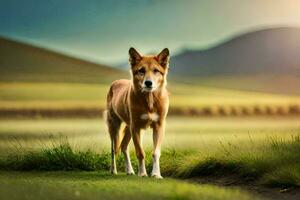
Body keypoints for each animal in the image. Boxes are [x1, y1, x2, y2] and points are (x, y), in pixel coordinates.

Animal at [103, 47, 169, 179]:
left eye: (156, 71)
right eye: (141, 70)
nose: (148, 83)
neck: (150, 100)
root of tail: (116, 82)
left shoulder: (159, 126)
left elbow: (156, 152)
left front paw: (156, 174)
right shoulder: (136, 127)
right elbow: (140, 152)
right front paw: (143, 173)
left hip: (129, 127)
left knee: (123, 146)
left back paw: (130, 170)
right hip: (114, 126)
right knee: (113, 149)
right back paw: (113, 170)